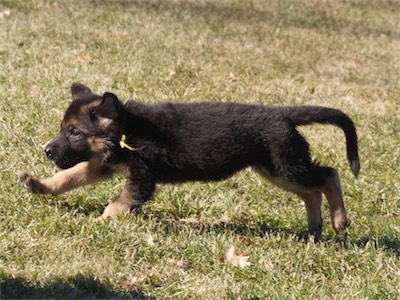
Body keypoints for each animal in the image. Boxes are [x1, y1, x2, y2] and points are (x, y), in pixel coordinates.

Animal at [19, 82, 360, 239]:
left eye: (74, 131)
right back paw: (315, 228)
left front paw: (100, 222)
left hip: (285, 165)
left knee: (329, 175)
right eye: (63, 129)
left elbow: (116, 204)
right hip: (274, 169)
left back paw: (339, 221)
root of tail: (283, 114)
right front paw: (39, 185)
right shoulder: (101, 164)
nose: (47, 150)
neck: (126, 129)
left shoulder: (142, 177)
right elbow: (69, 177)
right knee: (311, 191)